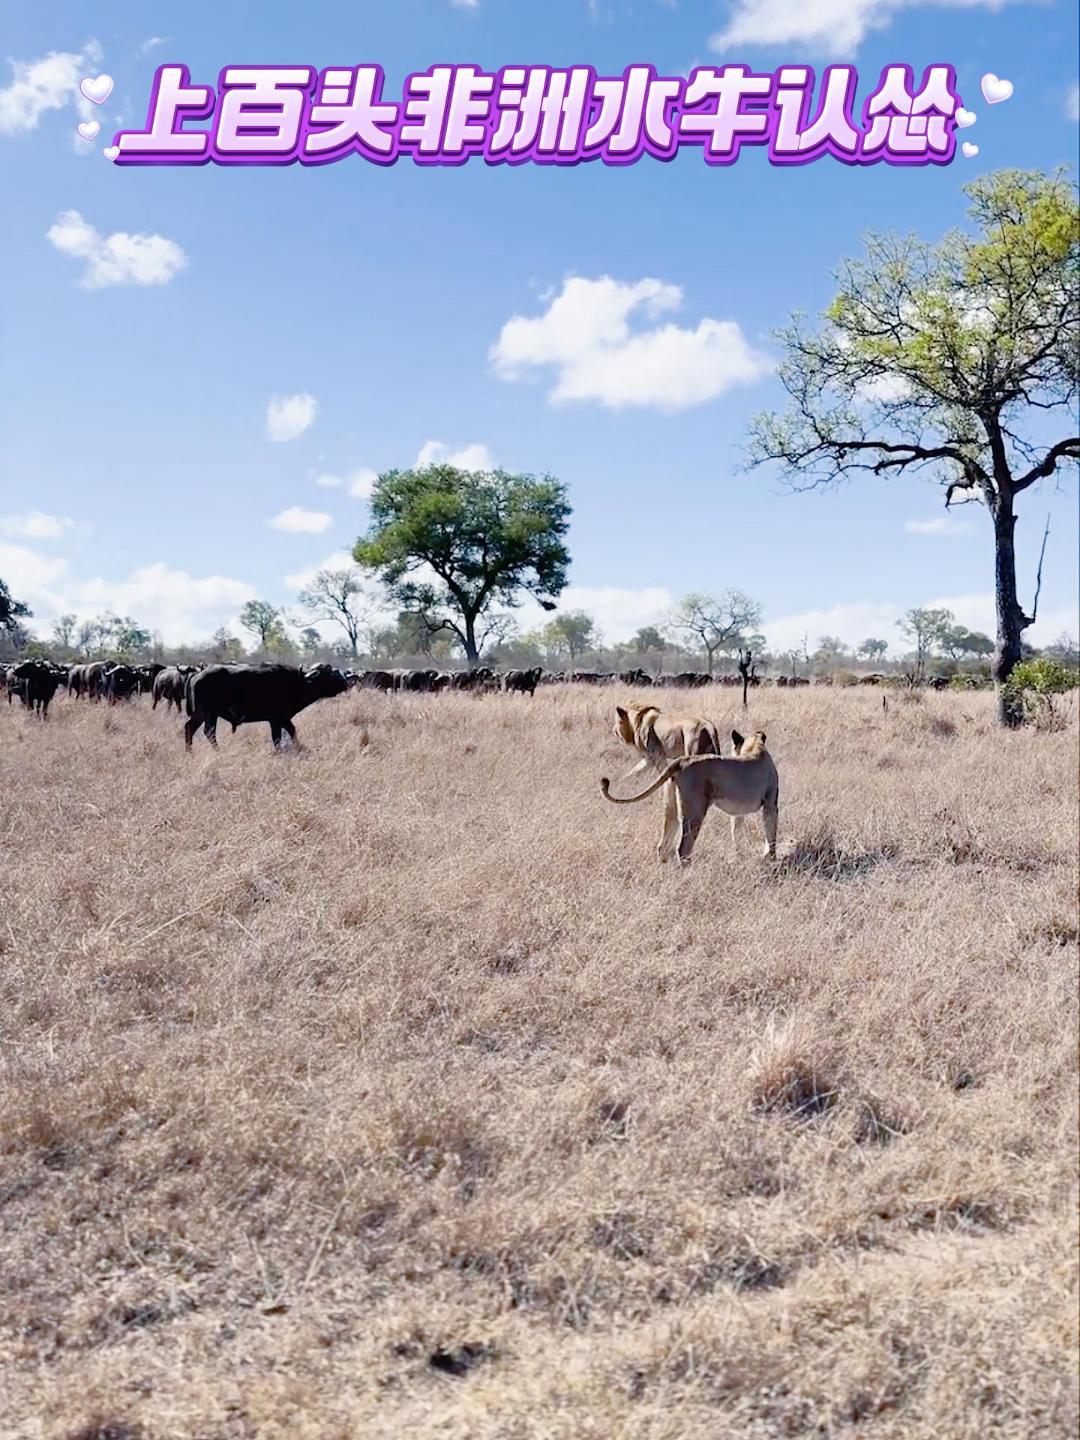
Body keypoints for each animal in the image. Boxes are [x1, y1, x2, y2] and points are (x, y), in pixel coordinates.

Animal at [184, 665, 348, 754]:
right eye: (326, 674)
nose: (344, 681)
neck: (298, 682)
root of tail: (197, 675)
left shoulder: (282, 719)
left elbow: (292, 731)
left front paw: (299, 747)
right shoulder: (276, 720)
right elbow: (279, 737)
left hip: (200, 713)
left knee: (189, 727)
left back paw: (190, 752)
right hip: (210, 713)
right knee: (209, 732)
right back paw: (218, 751)